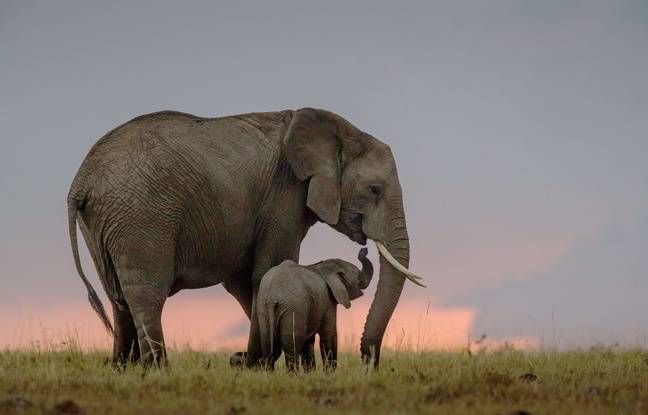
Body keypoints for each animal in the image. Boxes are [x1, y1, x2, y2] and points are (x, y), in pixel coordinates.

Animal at [67, 107, 425, 368]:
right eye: (374, 190)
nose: (367, 359)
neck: (342, 131)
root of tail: (81, 182)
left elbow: (244, 282)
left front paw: (249, 361)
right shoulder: (284, 198)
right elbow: (268, 269)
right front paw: (260, 362)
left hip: (105, 223)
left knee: (116, 294)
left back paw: (121, 368)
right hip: (142, 216)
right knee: (145, 292)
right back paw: (158, 368)